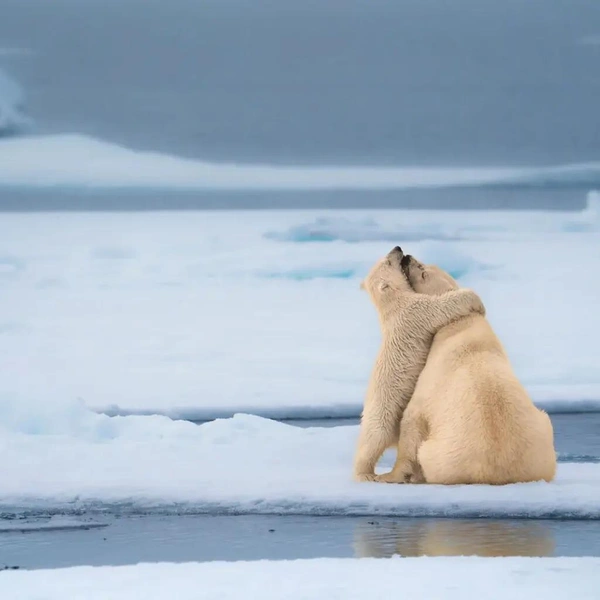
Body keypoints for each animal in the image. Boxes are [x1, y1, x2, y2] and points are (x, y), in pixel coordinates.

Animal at [352, 246, 488, 480]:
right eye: (388, 261)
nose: (398, 249)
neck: (393, 304)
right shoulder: (416, 311)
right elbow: (440, 306)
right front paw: (475, 300)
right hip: (381, 411)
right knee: (373, 438)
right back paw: (366, 474)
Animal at [380, 255, 556, 486]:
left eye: (423, 271)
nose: (408, 257)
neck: (462, 324)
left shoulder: (431, 379)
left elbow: (413, 418)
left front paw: (389, 475)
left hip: (440, 454)